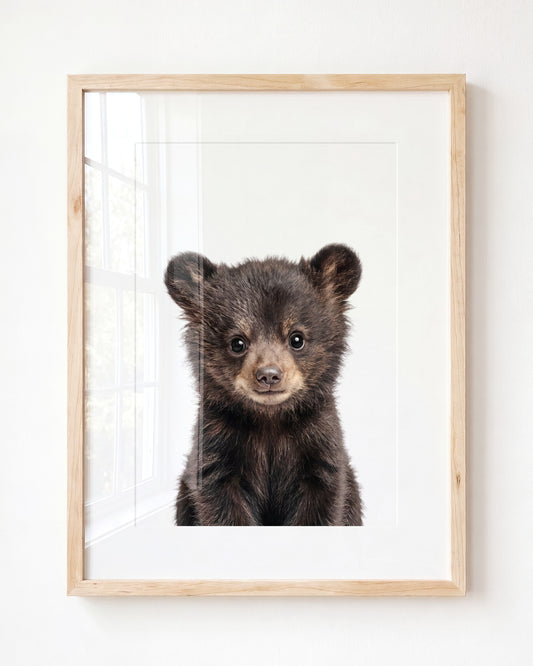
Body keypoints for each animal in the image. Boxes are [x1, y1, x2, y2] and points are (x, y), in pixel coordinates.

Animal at [164, 244, 364, 526]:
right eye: (237, 342)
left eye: (297, 338)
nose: (269, 375)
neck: (269, 420)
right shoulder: (216, 448)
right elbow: (222, 508)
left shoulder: (319, 446)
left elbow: (321, 506)